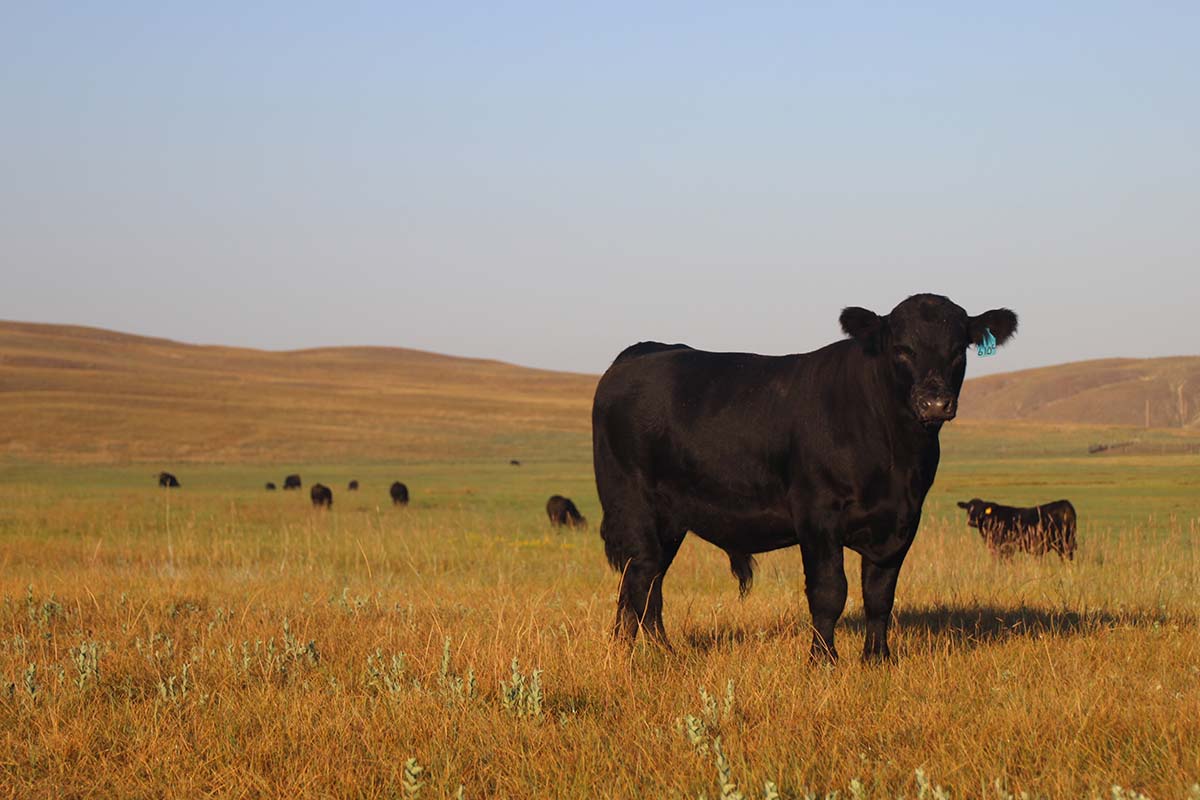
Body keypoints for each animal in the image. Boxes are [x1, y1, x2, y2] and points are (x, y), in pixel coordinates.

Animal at [592, 293, 1018, 662]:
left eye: (958, 350)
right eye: (902, 349)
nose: (935, 402)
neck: (895, 456)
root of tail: (641, 352)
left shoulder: (902, 519)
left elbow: (879, 594)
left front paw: (877, 658)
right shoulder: (817, 514)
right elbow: (829, 591)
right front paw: (823, 660)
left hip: (670, 520)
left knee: (646, 583)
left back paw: (656, 651)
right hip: (632, 506)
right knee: (640, 576)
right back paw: (633, 655)